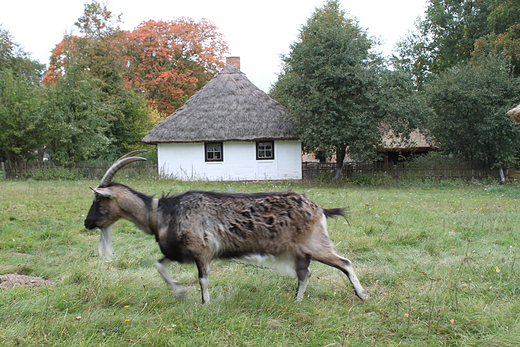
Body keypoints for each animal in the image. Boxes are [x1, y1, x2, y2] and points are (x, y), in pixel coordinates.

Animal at [83, 151, 368, 304]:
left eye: (98, 200)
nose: (87, 223)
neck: (162, 213)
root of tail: (319, 208)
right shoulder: (178, 252)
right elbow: (159, 264)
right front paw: (179, 291)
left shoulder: (201, 250)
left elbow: (203, 278)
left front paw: (205, 303)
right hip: (300, 251)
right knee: (304, 273)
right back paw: (296, 301)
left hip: (315, 243)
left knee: (344, 262)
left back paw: (363, 294)